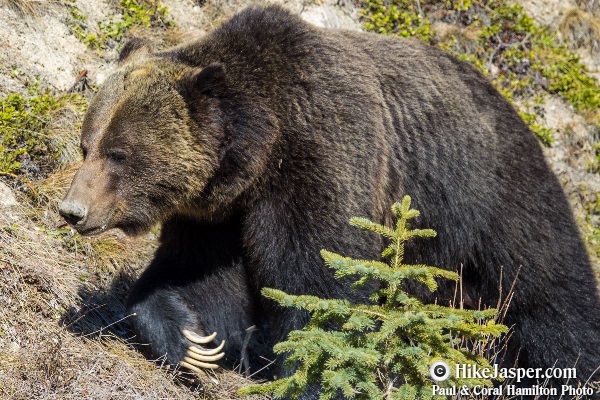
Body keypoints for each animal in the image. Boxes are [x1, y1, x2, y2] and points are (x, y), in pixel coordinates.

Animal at [61, 3, 600, 390]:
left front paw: (312, 374)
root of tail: (508, 102)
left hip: (488, 192)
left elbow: (323, 284)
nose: (72, 210)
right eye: (87, 145)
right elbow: (196, 280)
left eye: (119, 153)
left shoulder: (323, 157)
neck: (260, 153)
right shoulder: (217, 215)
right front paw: (192, 341)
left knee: (549, 294)